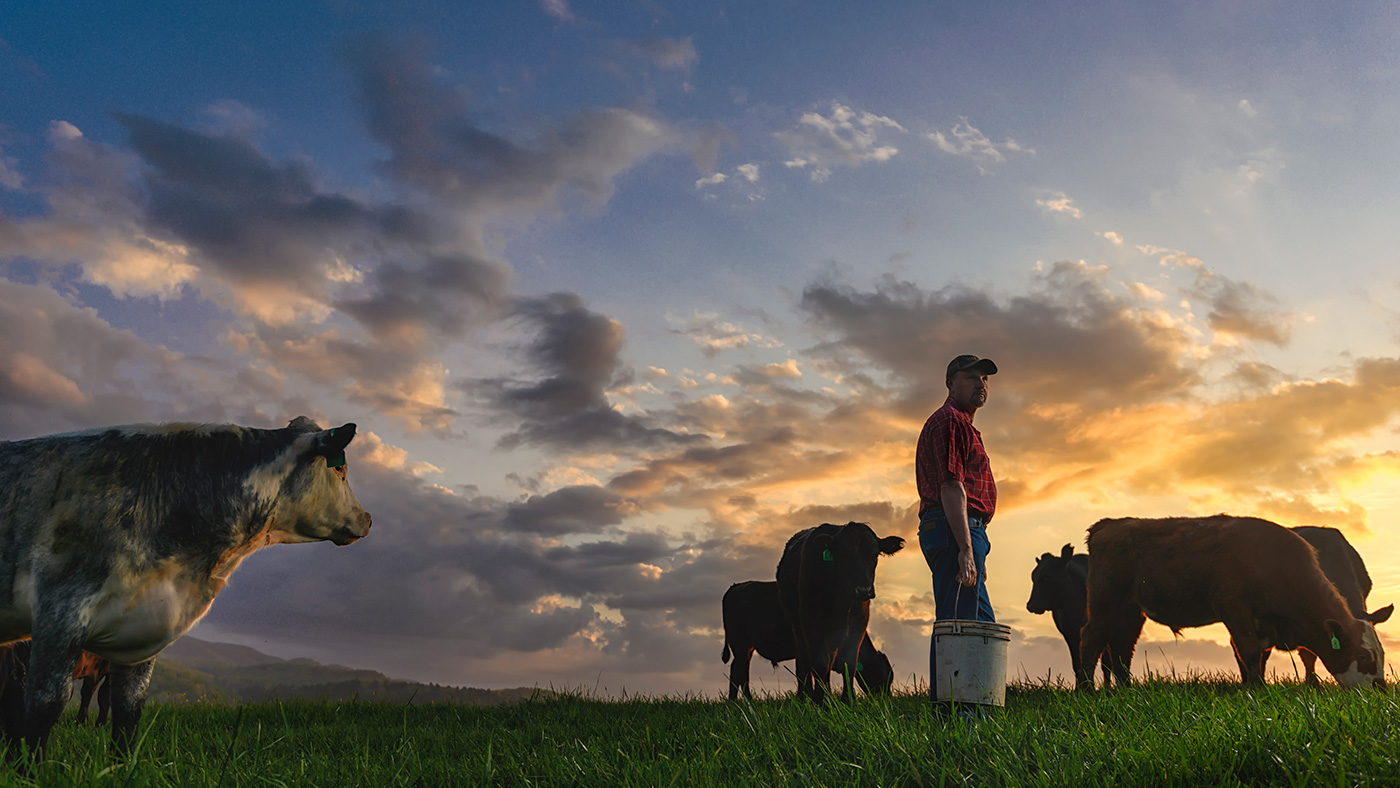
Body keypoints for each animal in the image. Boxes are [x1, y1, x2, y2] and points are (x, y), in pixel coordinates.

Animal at [0, 419, 372, 755]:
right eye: (340, 469)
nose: (367, 518)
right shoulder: (60, 608)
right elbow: (44, 705)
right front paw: (30, 770)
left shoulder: (142, 626)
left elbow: (128, 710)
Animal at [722, 579, 896, 702]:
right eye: (881, 674)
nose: (886, 698)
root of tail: (736, 587)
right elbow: (805, 675)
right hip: (740, 646)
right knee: (740, 671)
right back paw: (746, 700)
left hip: (747, 648)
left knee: (738, 670)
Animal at [772, 523, 901, 702]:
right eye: (845, 555)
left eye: (875, 555)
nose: (864, 590)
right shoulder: (811, 623)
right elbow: (820, 662)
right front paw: (823, 699)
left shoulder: (858, 624)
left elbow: (850, 662)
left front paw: (848, 699)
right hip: (796, 624)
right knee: (804, 659)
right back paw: (805, 695)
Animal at [1075, 515, 1383, 688]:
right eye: (1362, 656)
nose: (1381, 687)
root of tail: (1109, 525)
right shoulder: (1234, 608)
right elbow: (1249, 652)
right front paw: (1256, 690)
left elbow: (1259, 654)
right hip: (1104, 601)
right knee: (1091, 638)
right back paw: (1086, 690)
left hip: (1130, 610)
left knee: (1121, 647)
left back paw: (1126, 690)